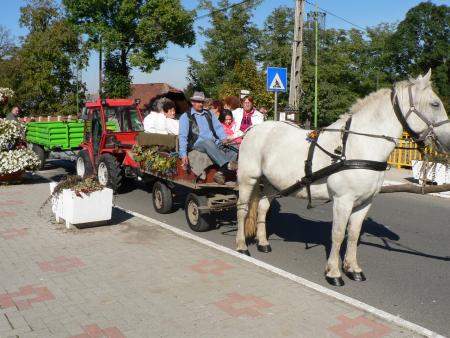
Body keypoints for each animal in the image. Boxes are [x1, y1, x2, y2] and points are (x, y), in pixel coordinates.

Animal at [237, 70, 448, 286]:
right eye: (435, 104)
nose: (448, 141)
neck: (359, 145)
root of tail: (254, 130)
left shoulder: (365, 202)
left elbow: (353, 234)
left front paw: (353, 268)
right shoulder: (343, 201)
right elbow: (338, 235)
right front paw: (334, 273)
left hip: (271, 183)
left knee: (263, 208)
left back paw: (263, 243)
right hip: (248, 178)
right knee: (242, 209)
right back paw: (242, 246)